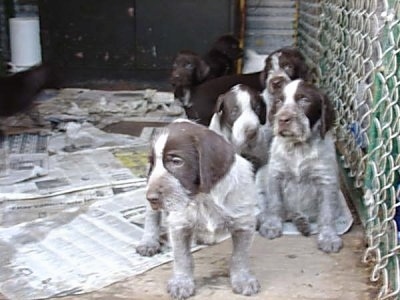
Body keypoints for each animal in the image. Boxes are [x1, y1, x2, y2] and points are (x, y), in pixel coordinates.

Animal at [136, 119, 260, 298]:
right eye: (152, 163)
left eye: (176, 161)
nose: (151, 198)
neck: (203, 197)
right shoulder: (179, 225)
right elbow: (182, 257)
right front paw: (181, 282)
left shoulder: (244, 223)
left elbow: (240, 256)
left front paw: (243, 279)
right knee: (151, 216)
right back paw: (148, 241)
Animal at [256, 79, 344, 253]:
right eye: (279, 101)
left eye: (304, 100)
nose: (283, 119)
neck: (298, 147)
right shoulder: (275, 175)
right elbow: (275, 204)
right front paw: (271, 225)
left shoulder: (326, 181)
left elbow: (327, 213)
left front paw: (328, 237)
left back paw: (302, 221)